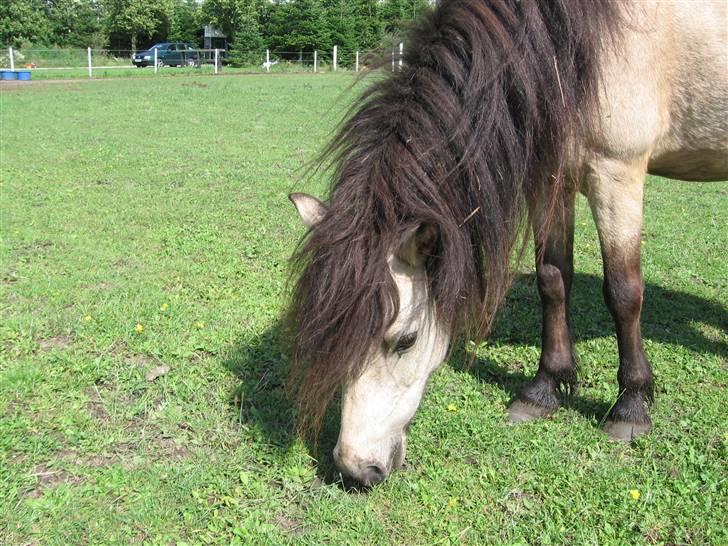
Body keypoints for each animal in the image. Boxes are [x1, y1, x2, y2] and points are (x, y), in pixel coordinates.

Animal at [288, 0, 724, 484]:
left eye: (405, 340)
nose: (355, 468)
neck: (572, 43)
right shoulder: (550, 179)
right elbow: (552, 279)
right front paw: (543, 391)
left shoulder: (617, 174)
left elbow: (624, 292)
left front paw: (630, 406)